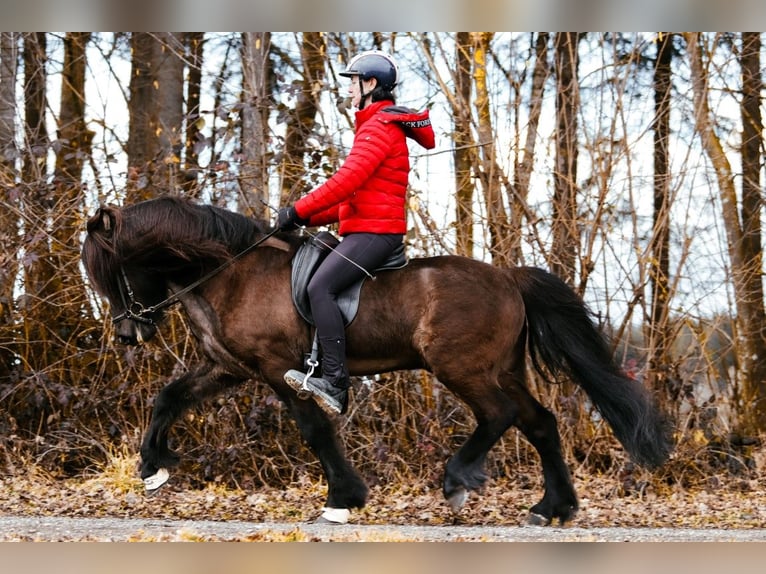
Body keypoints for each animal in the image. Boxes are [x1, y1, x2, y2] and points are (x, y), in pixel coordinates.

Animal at [81, 195, 676, 528]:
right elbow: (169, 397)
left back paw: (458, 481)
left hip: (459, 367)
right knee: (540, 423)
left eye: (115, 271)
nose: (129, 333)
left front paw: (343, 499)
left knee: (500, 416)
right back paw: (552, 508)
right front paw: (153, 468)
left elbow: (315, 430)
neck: (231, 272)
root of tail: (509, 277)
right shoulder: (231, 368)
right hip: (499, 368)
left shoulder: (278, 369)